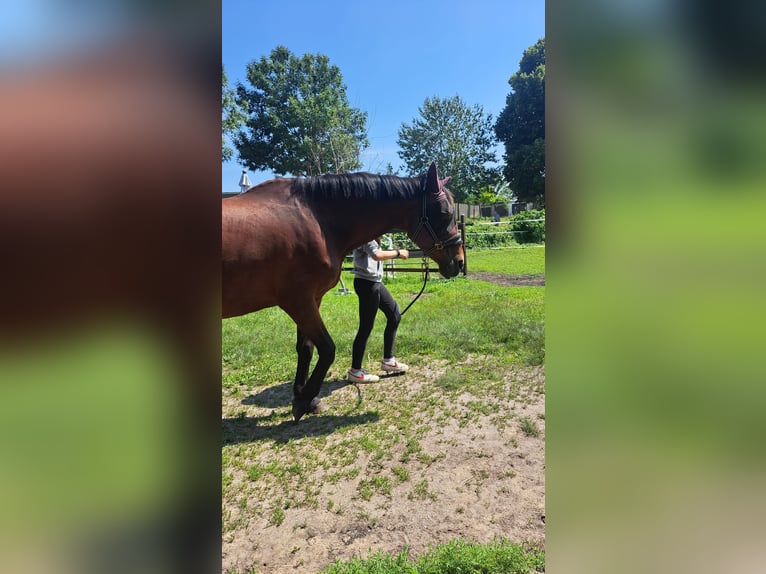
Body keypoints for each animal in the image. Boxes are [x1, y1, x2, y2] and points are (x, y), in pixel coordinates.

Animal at [222, 162, 465, 421]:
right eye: (444, 213)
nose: (459, 262)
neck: (316, 221)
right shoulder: (298, 302)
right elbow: (328, 349)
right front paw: (304, 399)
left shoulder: (313, 299)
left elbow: (306, 348)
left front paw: (304, 397)